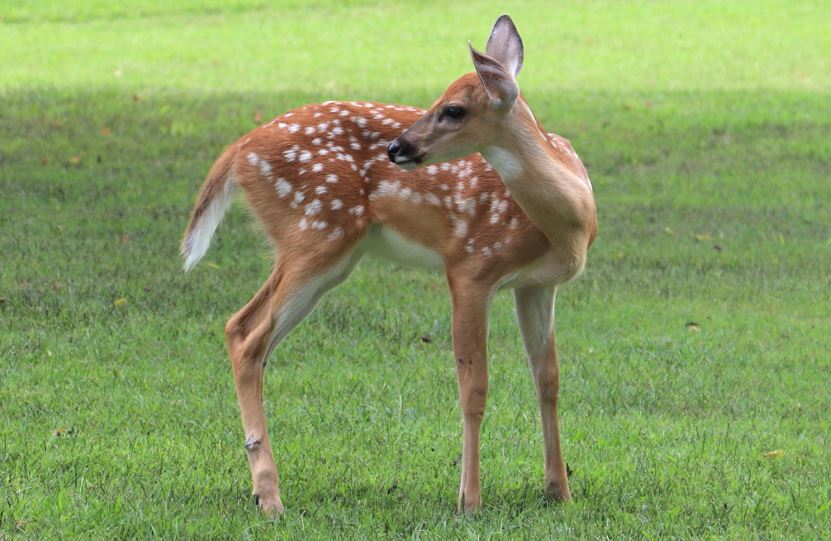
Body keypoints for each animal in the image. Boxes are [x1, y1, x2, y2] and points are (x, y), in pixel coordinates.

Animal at [182, 15, 600, 516]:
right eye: (437, 99)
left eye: (453, 109)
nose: (396, 148)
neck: (565, 225)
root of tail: (239, 148)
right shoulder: (470, 265)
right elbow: (473, 387)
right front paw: (469, 501)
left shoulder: (537, 285)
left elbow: (548, 379)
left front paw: (559, 491)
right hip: (316, 231)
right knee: (247, 333)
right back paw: (271, 498)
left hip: (325, 251)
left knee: (243, 331)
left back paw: (261, 490)